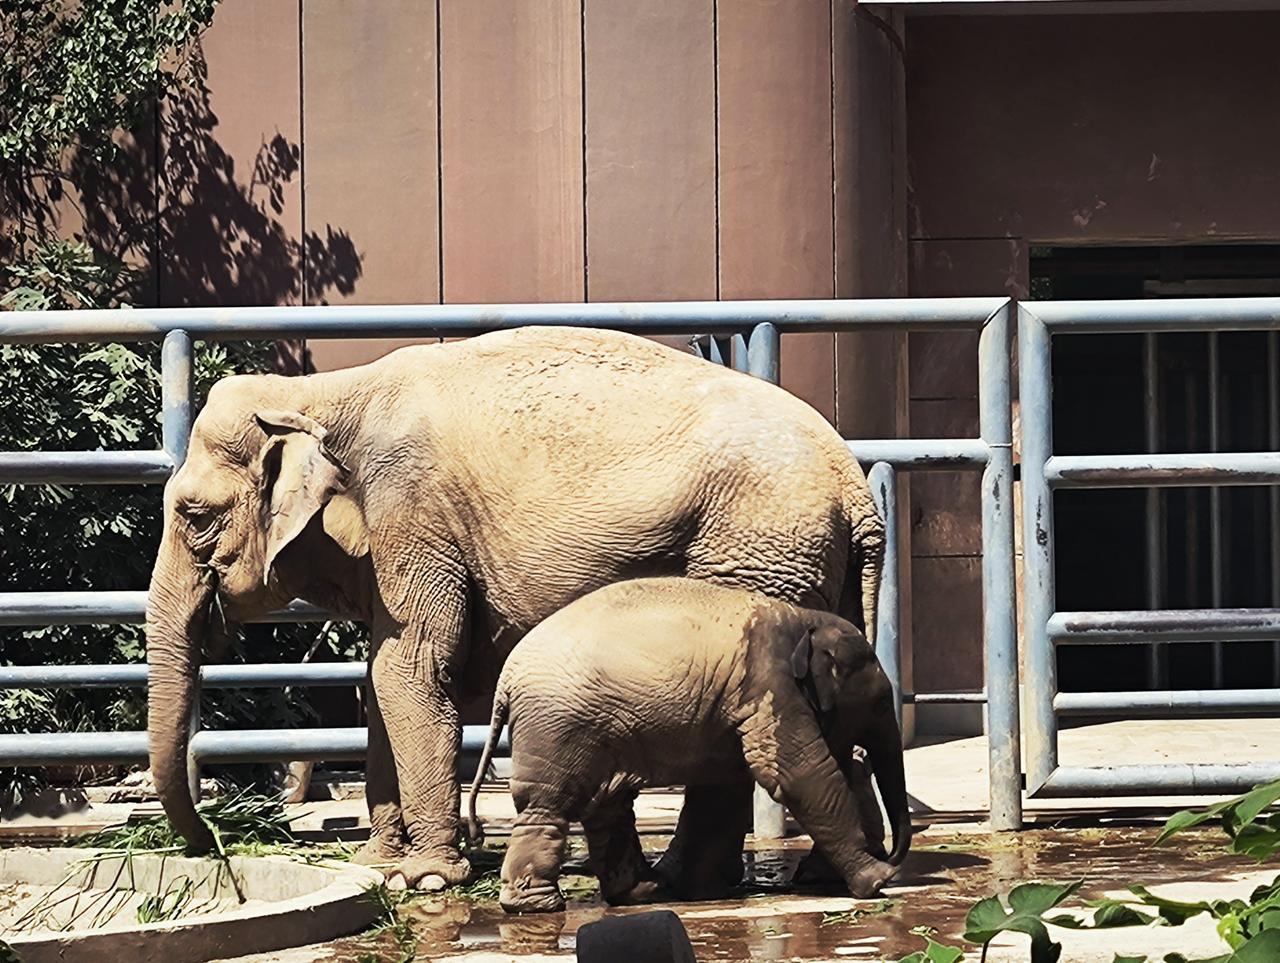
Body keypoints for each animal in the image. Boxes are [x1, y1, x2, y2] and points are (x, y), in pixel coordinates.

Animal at [144, 325, 885, 890]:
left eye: (196, 515)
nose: (210, 843)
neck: (317, 393)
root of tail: (858, 492)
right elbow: (380, 679)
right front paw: (378, 862)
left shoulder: (415, 514)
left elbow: (409, 669)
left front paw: (426, 877)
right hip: (815, 568)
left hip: (758, 548)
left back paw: (685, 879)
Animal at [465, 577, 910, 913]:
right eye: (878, 704)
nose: (890, 856)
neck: (803, 619)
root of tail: (505, 682)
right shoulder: (770, 686)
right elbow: (795, 774)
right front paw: (877, 881)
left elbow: (722, 788)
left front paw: (701, 889)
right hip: (558, 727)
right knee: (550, 805)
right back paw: (538, 905)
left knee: (606, 805)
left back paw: (643, 892)